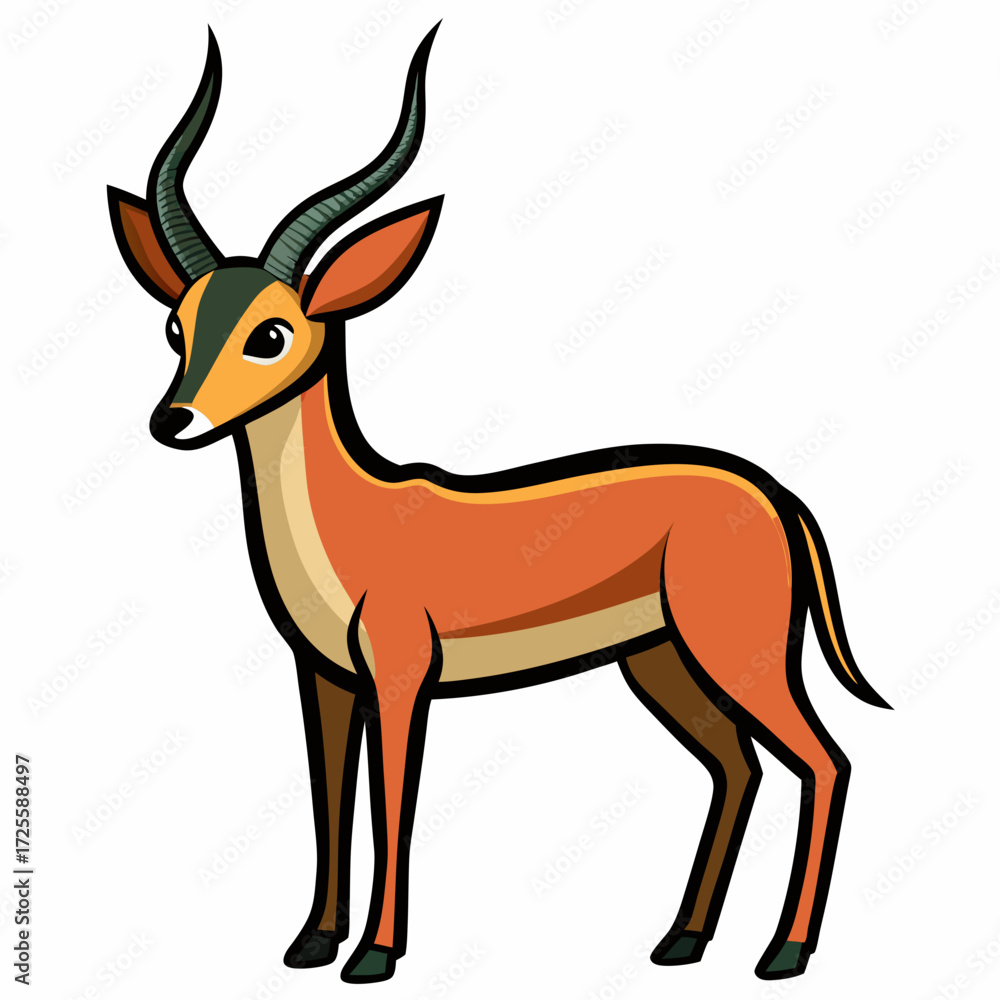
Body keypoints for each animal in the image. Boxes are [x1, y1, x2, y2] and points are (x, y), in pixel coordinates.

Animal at [107, 23, 889, 985]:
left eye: (271, 333)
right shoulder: (323, 676)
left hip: (738, 652)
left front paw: (374, 955)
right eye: (175, 326)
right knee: (738, 769)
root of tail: (774, 492)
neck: (353, 517)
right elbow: (329, 797)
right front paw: (311, 943)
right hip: (661, 662)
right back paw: (681, 941)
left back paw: (784, 953)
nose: (171, 420)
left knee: (826, 761)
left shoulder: (402, 675)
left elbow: (392, 800)